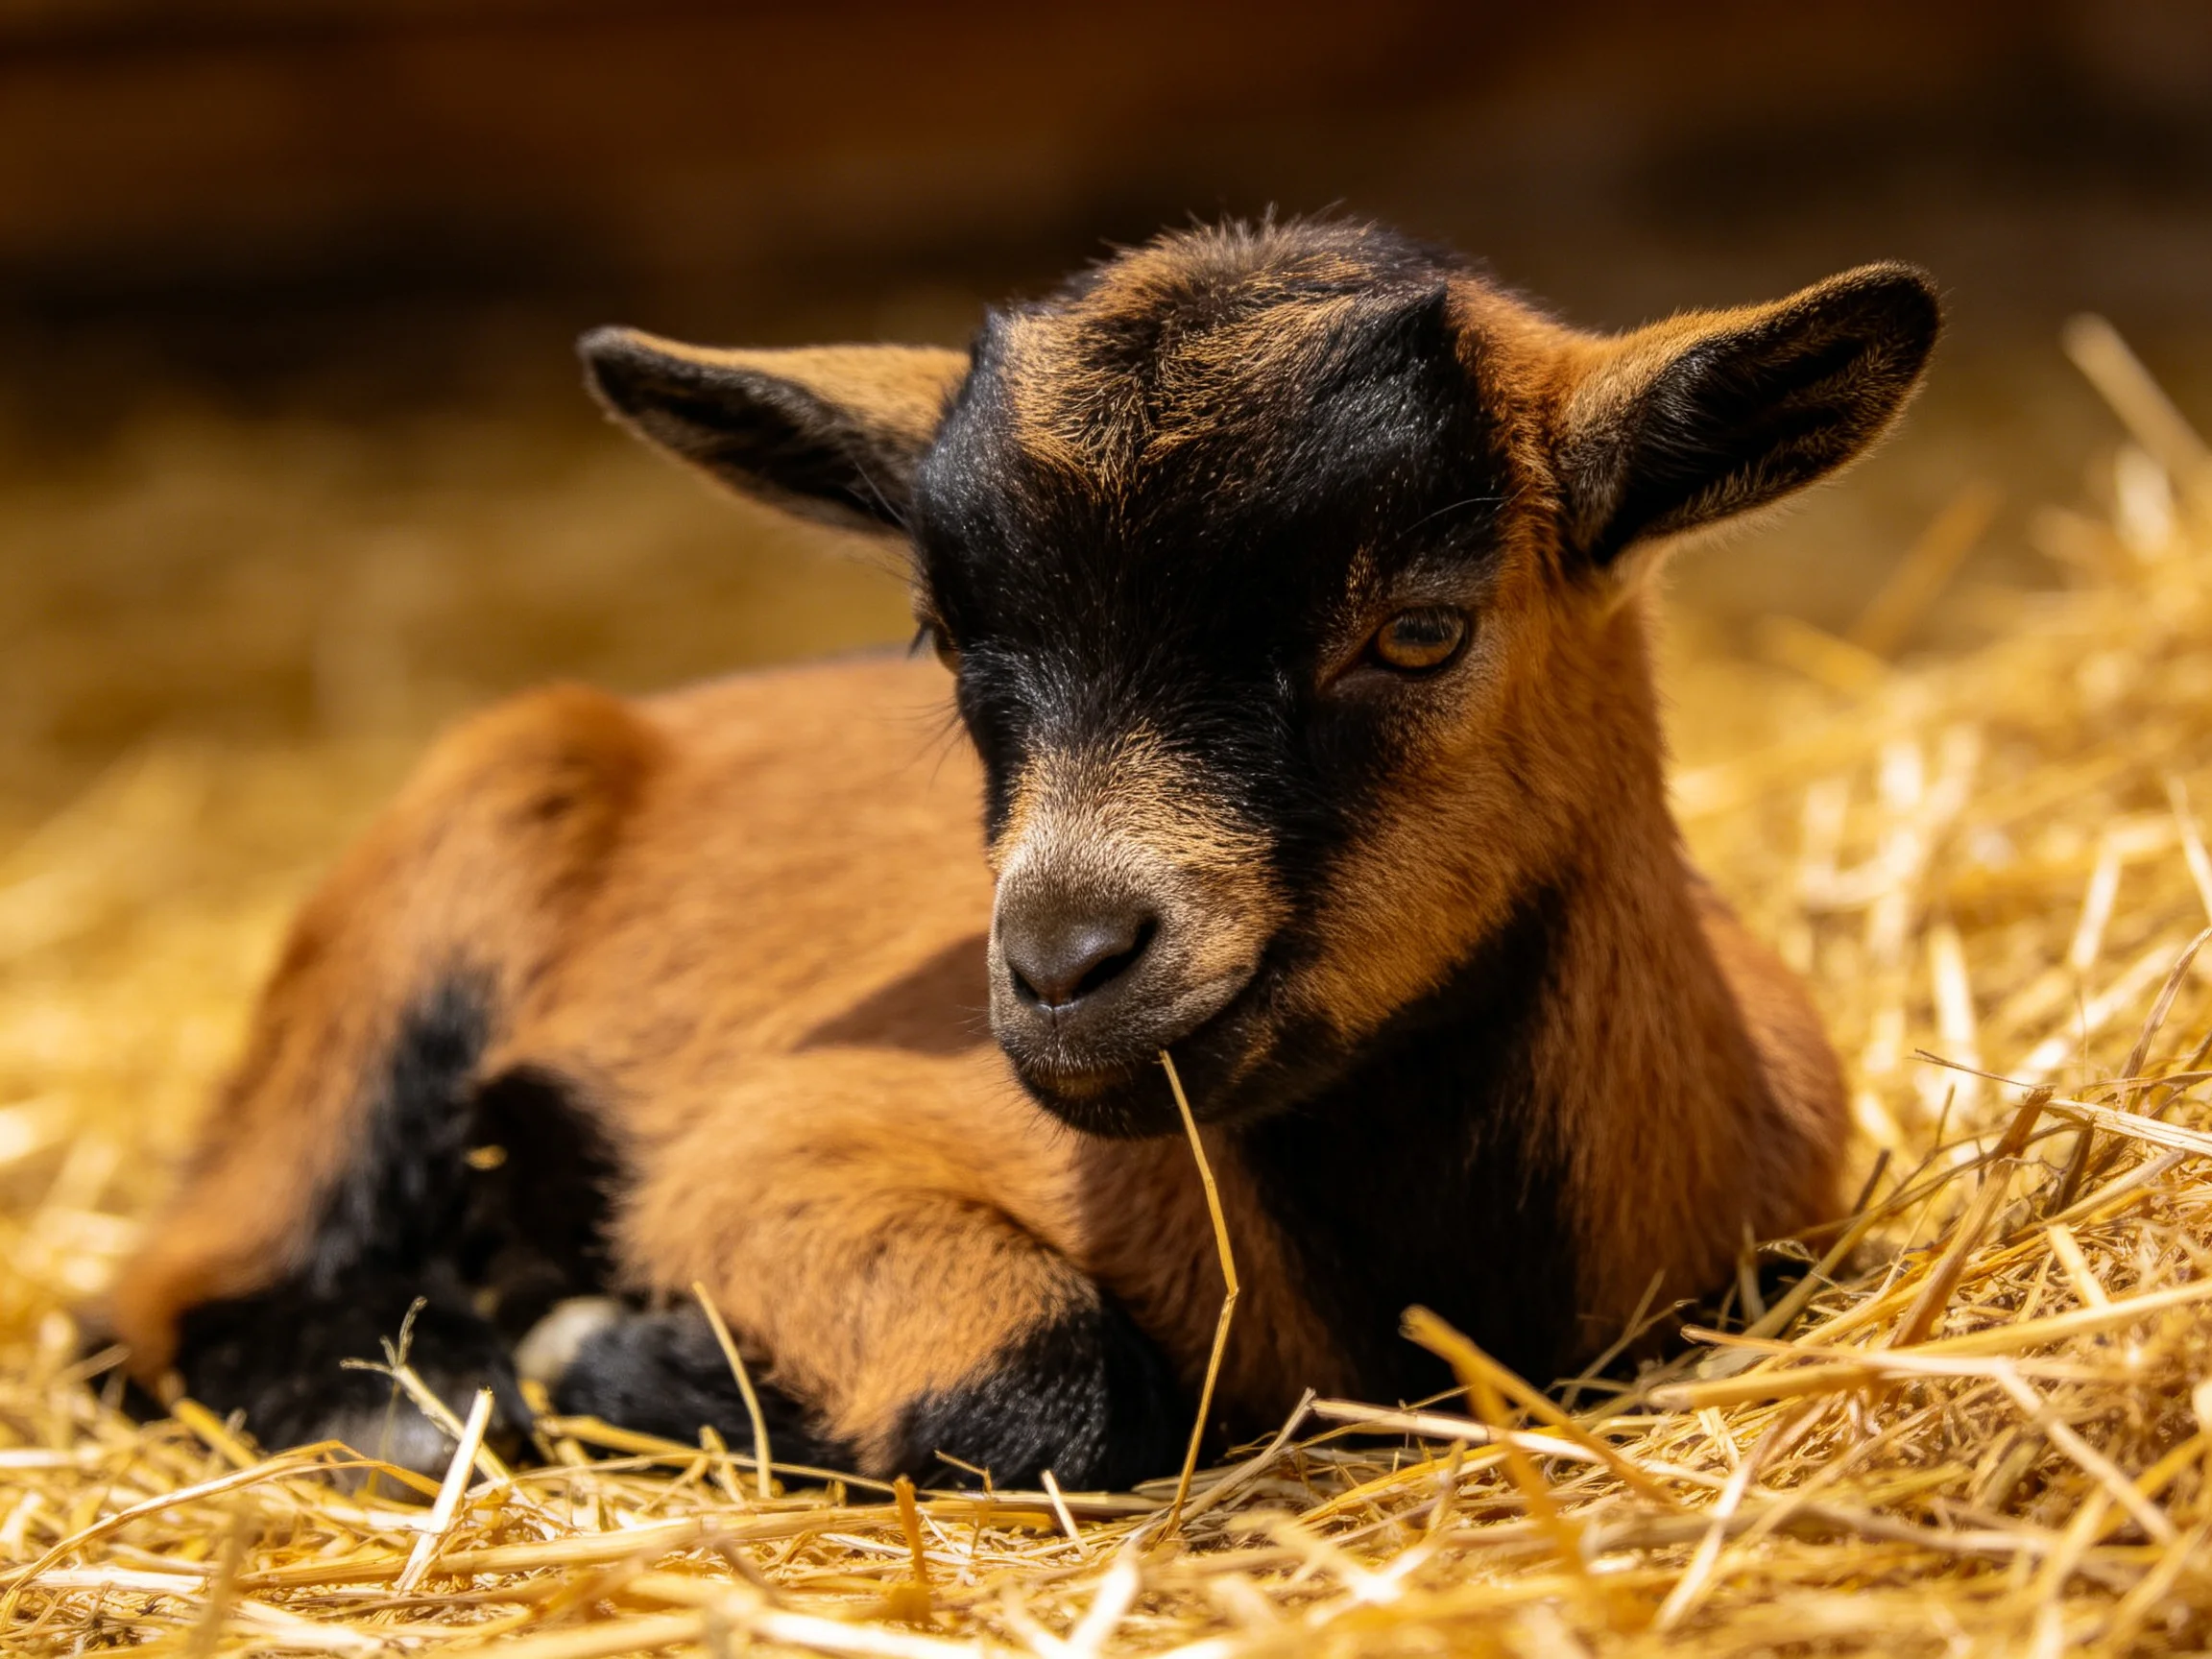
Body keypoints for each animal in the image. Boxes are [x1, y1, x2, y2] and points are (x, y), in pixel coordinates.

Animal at [109, 220, 1936, 1489]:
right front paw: (612, 1350)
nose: (1064, 963)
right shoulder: (774, 1154)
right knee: (162, 1300)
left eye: (1420, 628)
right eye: (944, 635)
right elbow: (1041, 1392)